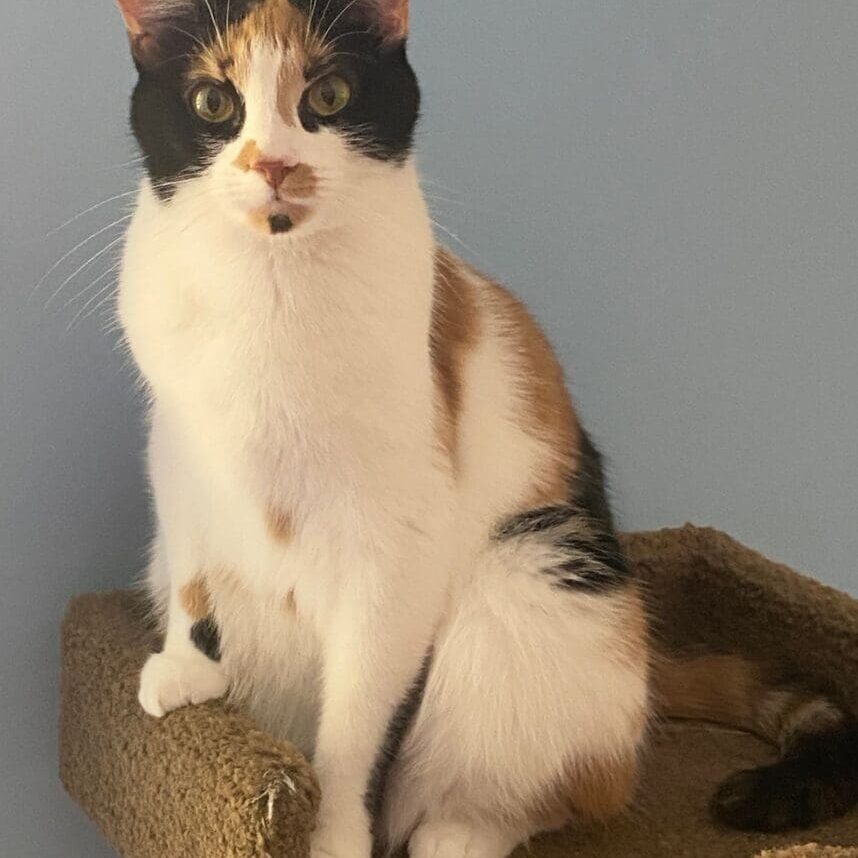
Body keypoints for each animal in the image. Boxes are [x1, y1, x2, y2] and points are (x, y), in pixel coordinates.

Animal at [110, 3, 852, 852]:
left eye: (329, 95)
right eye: (213, 103)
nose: (274, 163)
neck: (269, 283)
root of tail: (646, 671)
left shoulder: (396, 548)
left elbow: (356, 730)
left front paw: (331, 832)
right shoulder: (179, 453)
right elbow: (194, 577)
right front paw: (185, 670)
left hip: (526, 584)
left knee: (560, 783)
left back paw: (456, 832)